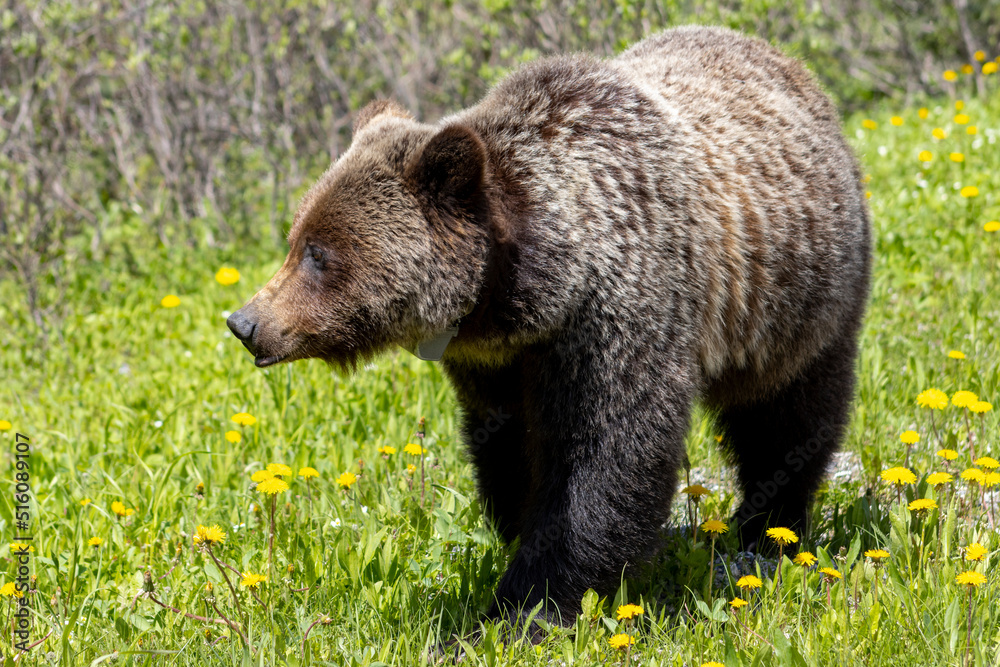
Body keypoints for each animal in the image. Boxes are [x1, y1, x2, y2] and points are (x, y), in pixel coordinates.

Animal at [227, 25, 871, 626]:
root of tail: (788, 64)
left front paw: (521, 609)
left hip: (797, 300)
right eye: (296, 239)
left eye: (319, 252)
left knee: (788, 416)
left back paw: (768, 530)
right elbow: (510, 451)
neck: (536, 292)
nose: (245, 322)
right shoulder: (493, 365)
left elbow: (605, 463)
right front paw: (517, 538)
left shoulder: (620, 314)